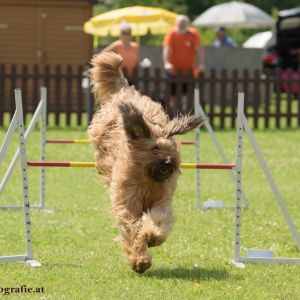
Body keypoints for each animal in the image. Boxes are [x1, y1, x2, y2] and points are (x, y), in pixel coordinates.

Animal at [88, 52, 203, 274]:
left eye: (172, 148)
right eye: (154, 149)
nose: (168, 162)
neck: (147, 179)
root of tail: (125, 90)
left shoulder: (161, 199)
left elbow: (157, 217)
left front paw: (152, 236)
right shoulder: (128, 202)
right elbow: (133, 229)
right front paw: (139, 261)